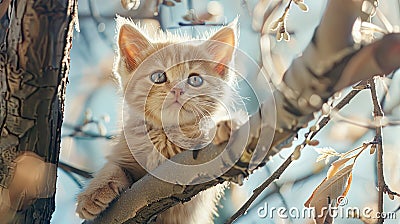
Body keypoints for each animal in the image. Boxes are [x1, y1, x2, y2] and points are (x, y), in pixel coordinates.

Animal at [76, 16, 238, 223]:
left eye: (195, 80)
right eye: (159, 76)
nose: (177, 90)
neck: (165, 137)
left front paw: (225, 128)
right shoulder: (125, 150)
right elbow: (113, 166)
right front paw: (94, 192)